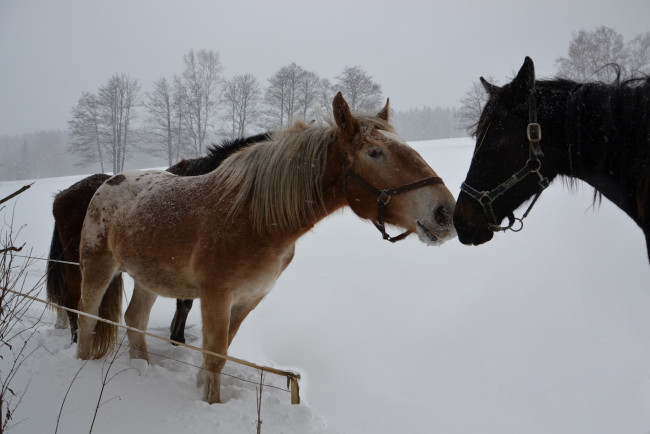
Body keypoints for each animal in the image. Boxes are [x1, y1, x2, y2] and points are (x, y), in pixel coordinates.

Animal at [76, 93, 456, 406]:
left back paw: (142, 367)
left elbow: (221, 352)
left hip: (148, 277)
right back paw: (82, 366)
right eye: (375, 153)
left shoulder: (249, 297)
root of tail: (110, 181)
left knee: (135, 320)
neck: (254, 219)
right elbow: (214, 356)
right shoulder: (216, 295)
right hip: (97, 266)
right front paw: (211, 404)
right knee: (87, 316)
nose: (446, 213)